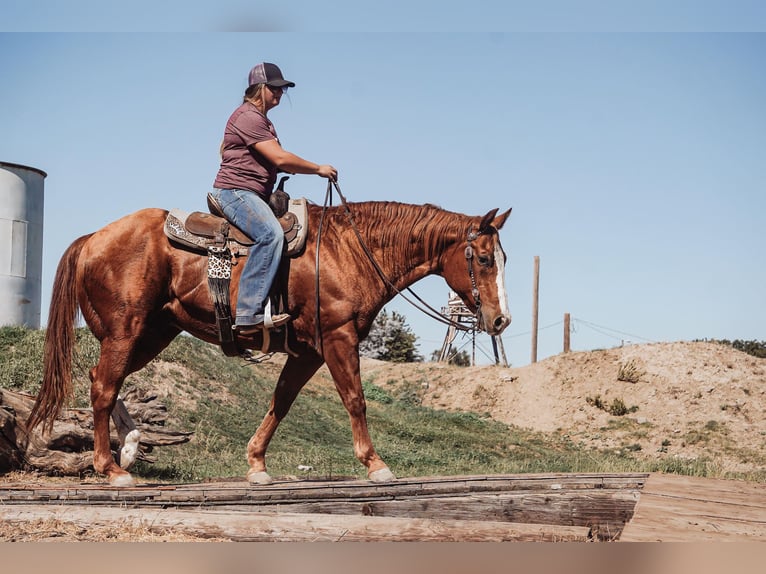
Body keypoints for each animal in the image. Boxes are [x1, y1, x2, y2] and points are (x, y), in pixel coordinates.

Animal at [28, 200, 510, 488]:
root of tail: (92, 238)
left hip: (153, 332)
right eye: (485, 259)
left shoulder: (309, 351)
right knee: (103, 385)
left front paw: (257, 464)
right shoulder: (338, 337)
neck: (348, 250)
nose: (500, 319)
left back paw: (128, 447)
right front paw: (376, 464)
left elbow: (281, 401)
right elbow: (355, 399)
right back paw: (110, 468)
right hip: (126, 330)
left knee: (104, 380)